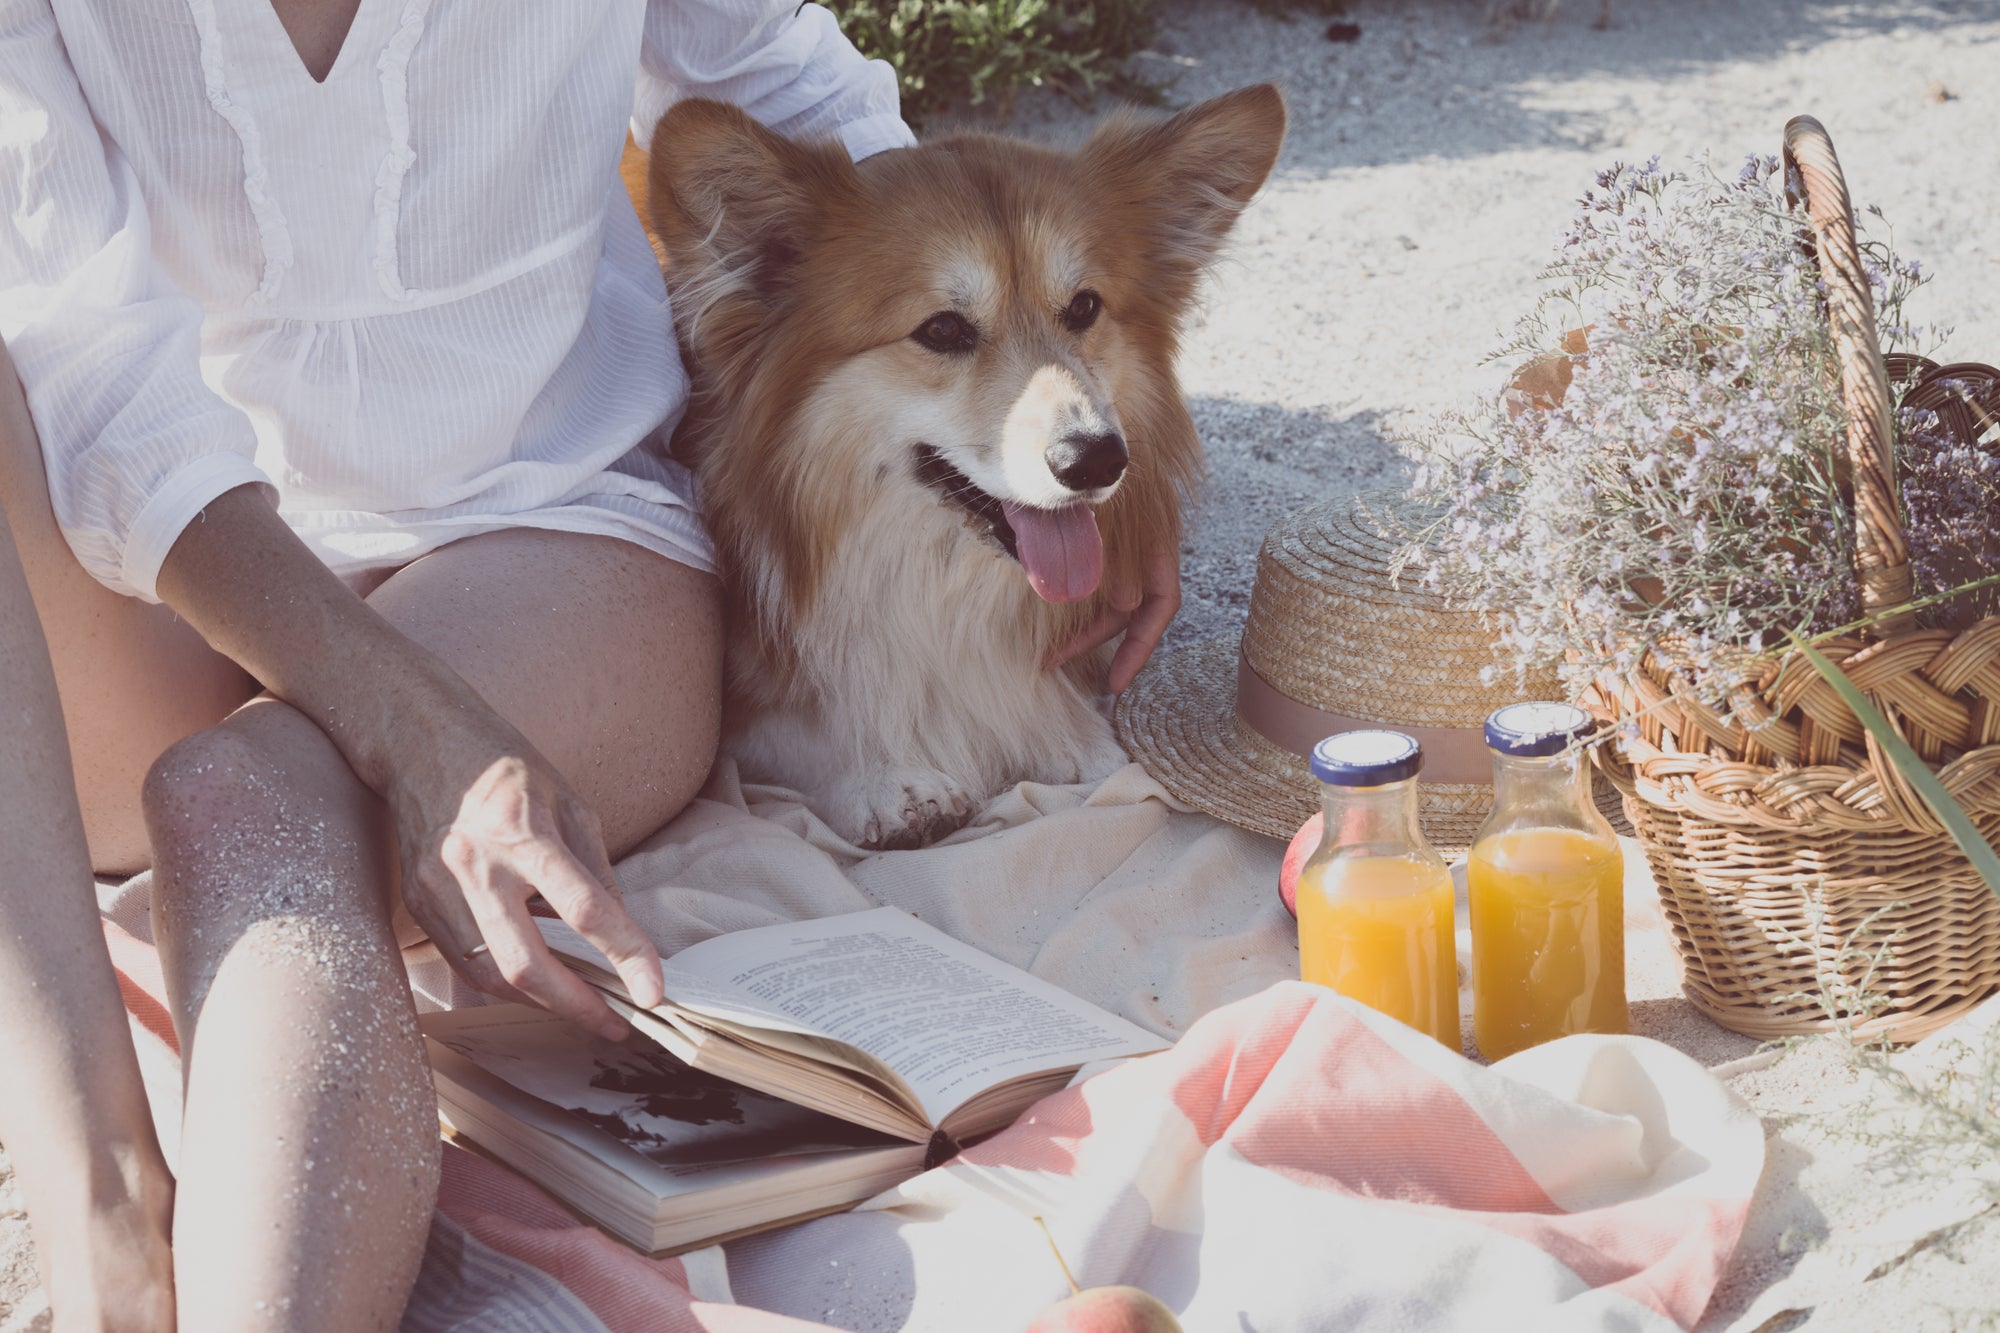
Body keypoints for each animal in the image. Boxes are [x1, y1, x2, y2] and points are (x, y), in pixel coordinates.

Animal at [648, 88, 1288, 844]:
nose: (1097, 458)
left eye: (1084, 307)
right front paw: (886, 778)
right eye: (943, 329)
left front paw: (1072, 739)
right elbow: (797, 732)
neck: (940, 588)